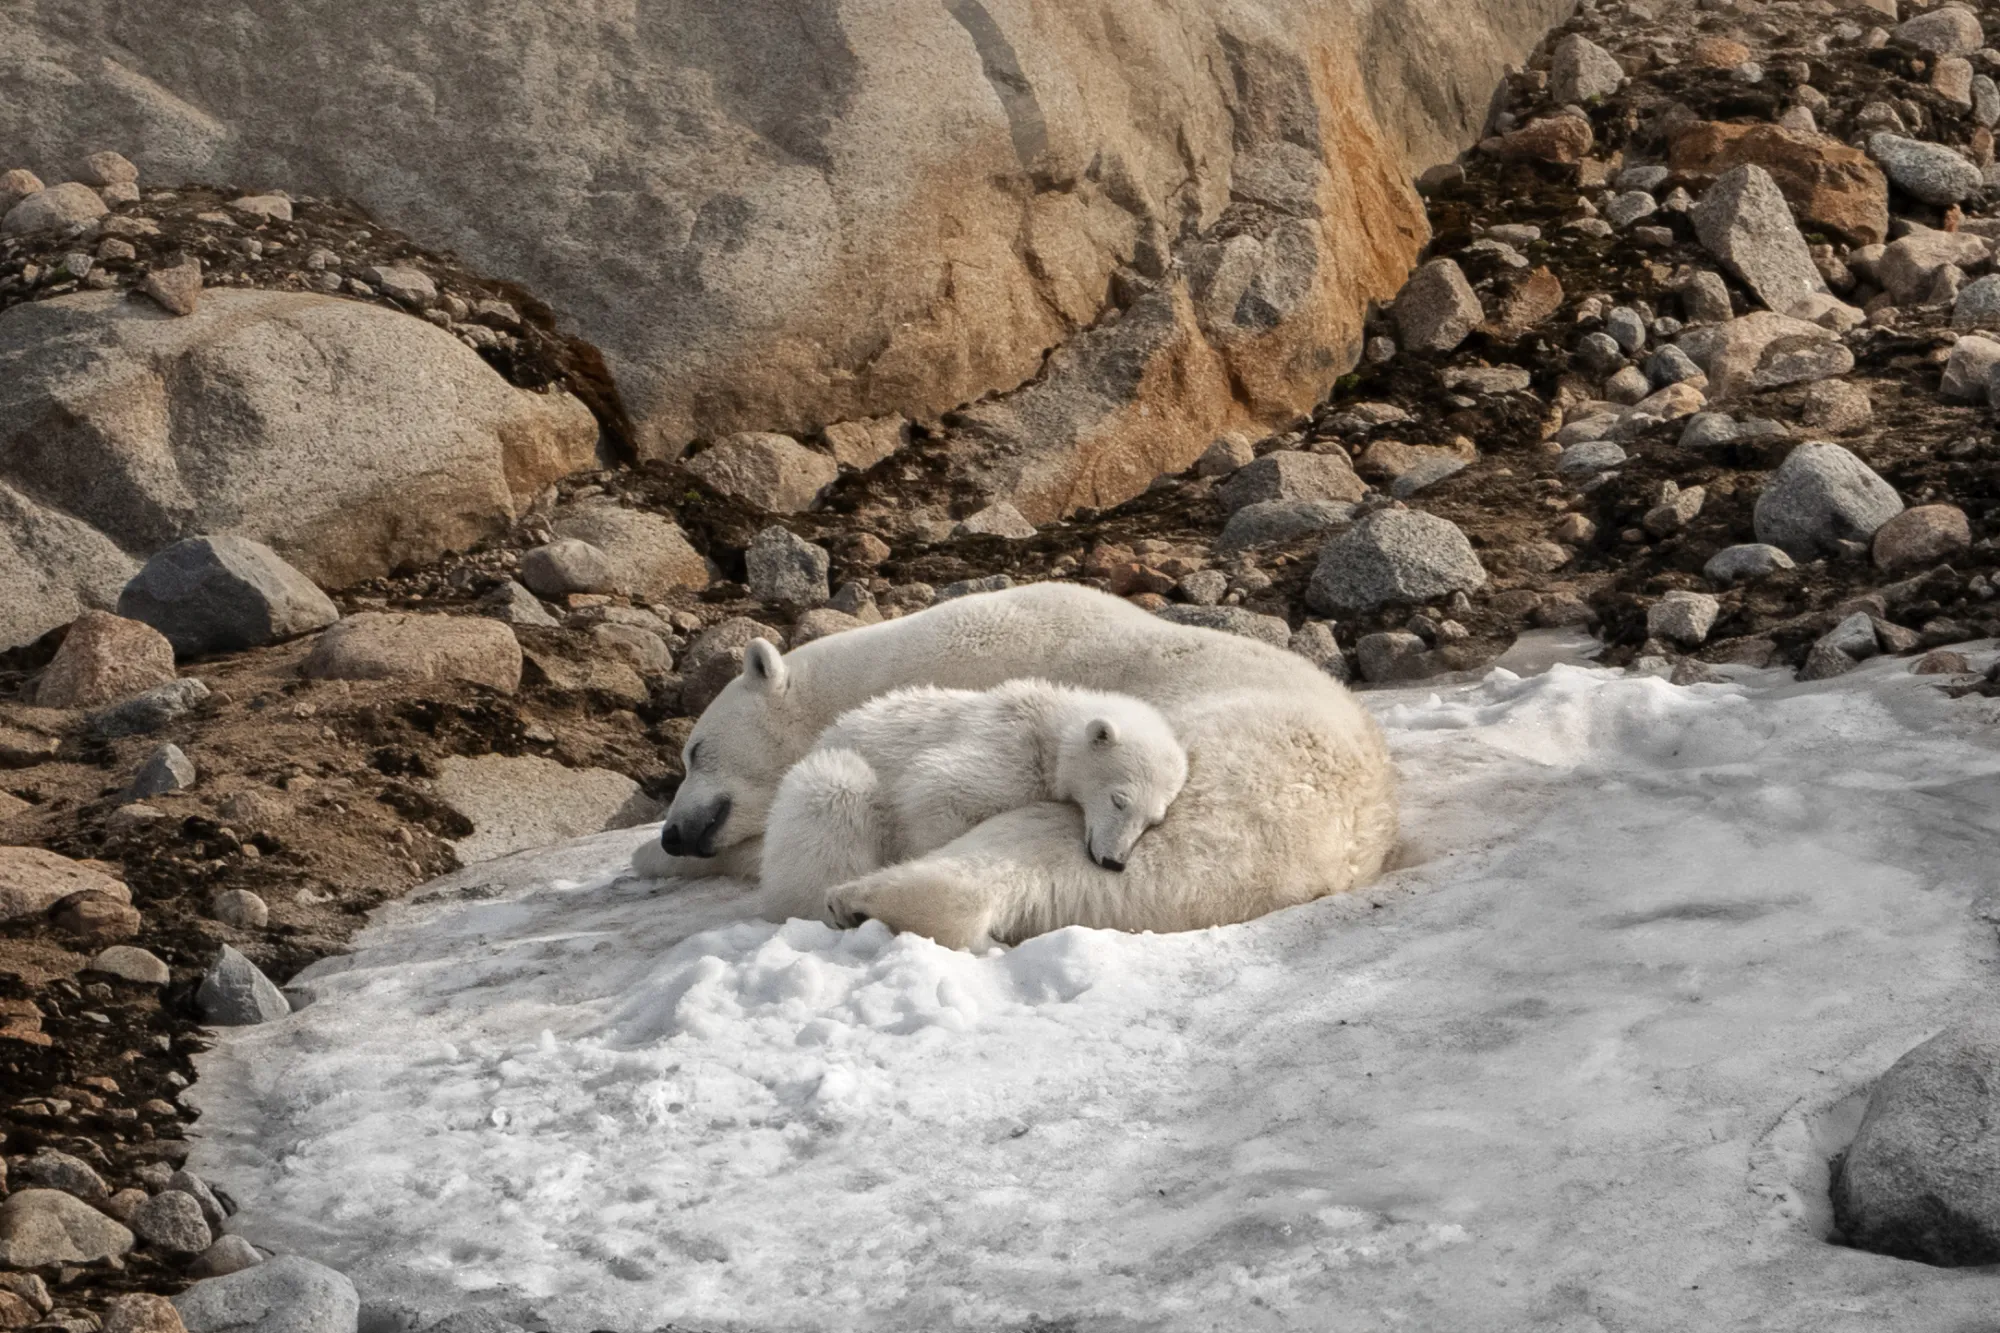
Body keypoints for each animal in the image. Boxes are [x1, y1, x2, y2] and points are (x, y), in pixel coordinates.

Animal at [759, 679, 1191, 933]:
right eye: (1119, 800)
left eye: (1153, 820)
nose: (1114, 861)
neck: (1046, 727)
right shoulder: (1005, 752)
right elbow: (935, 790)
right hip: (824, 786)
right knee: (837, 792)